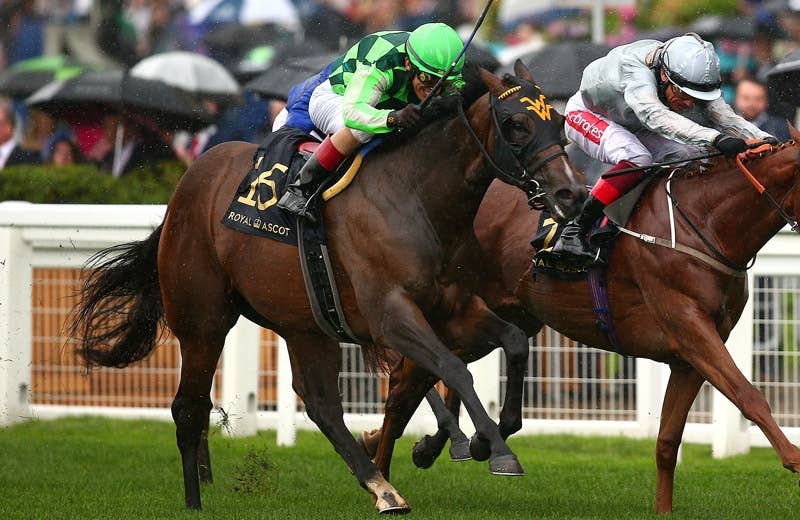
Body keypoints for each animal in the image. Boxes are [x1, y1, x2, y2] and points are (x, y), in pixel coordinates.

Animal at [67, 61, 587, 514]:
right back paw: (195, 501)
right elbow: (454, 369)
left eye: (561, 120)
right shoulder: (391, 316)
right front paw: (495, 451)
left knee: (320, 405)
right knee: (188, 407)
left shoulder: (454, 308)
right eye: (516, 123)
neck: (416, 198)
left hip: (305, 325)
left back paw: (384, 490)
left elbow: (513, 343)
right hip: (203, 319)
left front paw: (486, 438)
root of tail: (185, 185)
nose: (571, 193)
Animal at [361, 129, 800, 514]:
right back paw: (383, 477)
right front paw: (794, 458)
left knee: (435, 375)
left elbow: (667, 440)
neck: (706, 225)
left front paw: (664, 510)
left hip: (500, 318)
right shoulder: (692, 330)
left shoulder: (688, 357)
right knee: (405, 386)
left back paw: (428, 447)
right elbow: (748, 395)